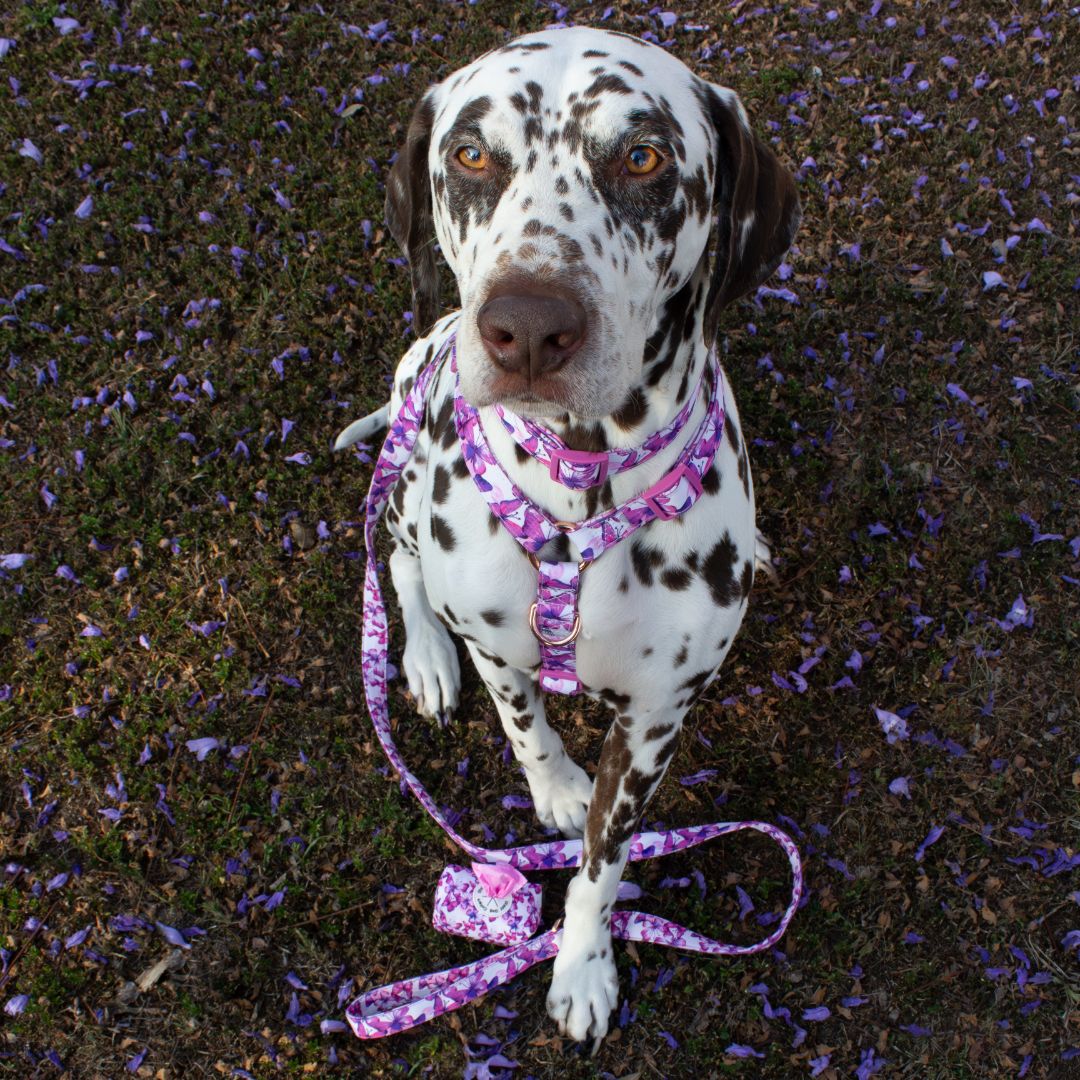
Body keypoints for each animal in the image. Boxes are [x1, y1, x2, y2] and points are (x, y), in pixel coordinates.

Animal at [336, 27, 803, 1045]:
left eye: (645, 157)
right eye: (472, 154)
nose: (526, 328)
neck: (585, 497)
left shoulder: (657, 717)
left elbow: (602, 863)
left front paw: (582, 964)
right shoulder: (497, 639)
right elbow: (525, 727)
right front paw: (550, 787)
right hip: (406, 475)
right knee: (395, 559)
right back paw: (422, 656)